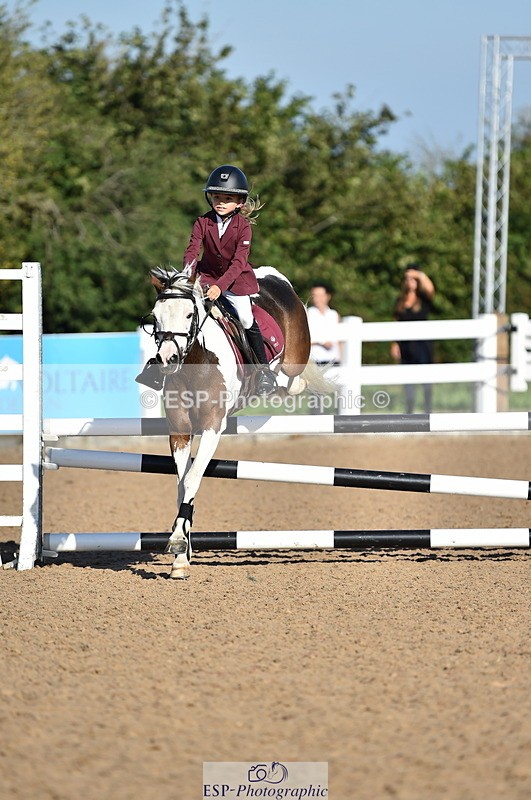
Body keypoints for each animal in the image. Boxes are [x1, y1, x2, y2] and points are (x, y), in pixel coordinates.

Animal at [145, 265, 320, 579]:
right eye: (156, 315)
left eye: (189, 315)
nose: (167, 359)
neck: (196, 361)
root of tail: (272, 276)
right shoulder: (180, 431)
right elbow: (182, 485)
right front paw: (181, 555)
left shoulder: (212, 427)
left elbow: (192, 478)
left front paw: (177, 541)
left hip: (294, 355)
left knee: (293, 377)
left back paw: (281, 383)